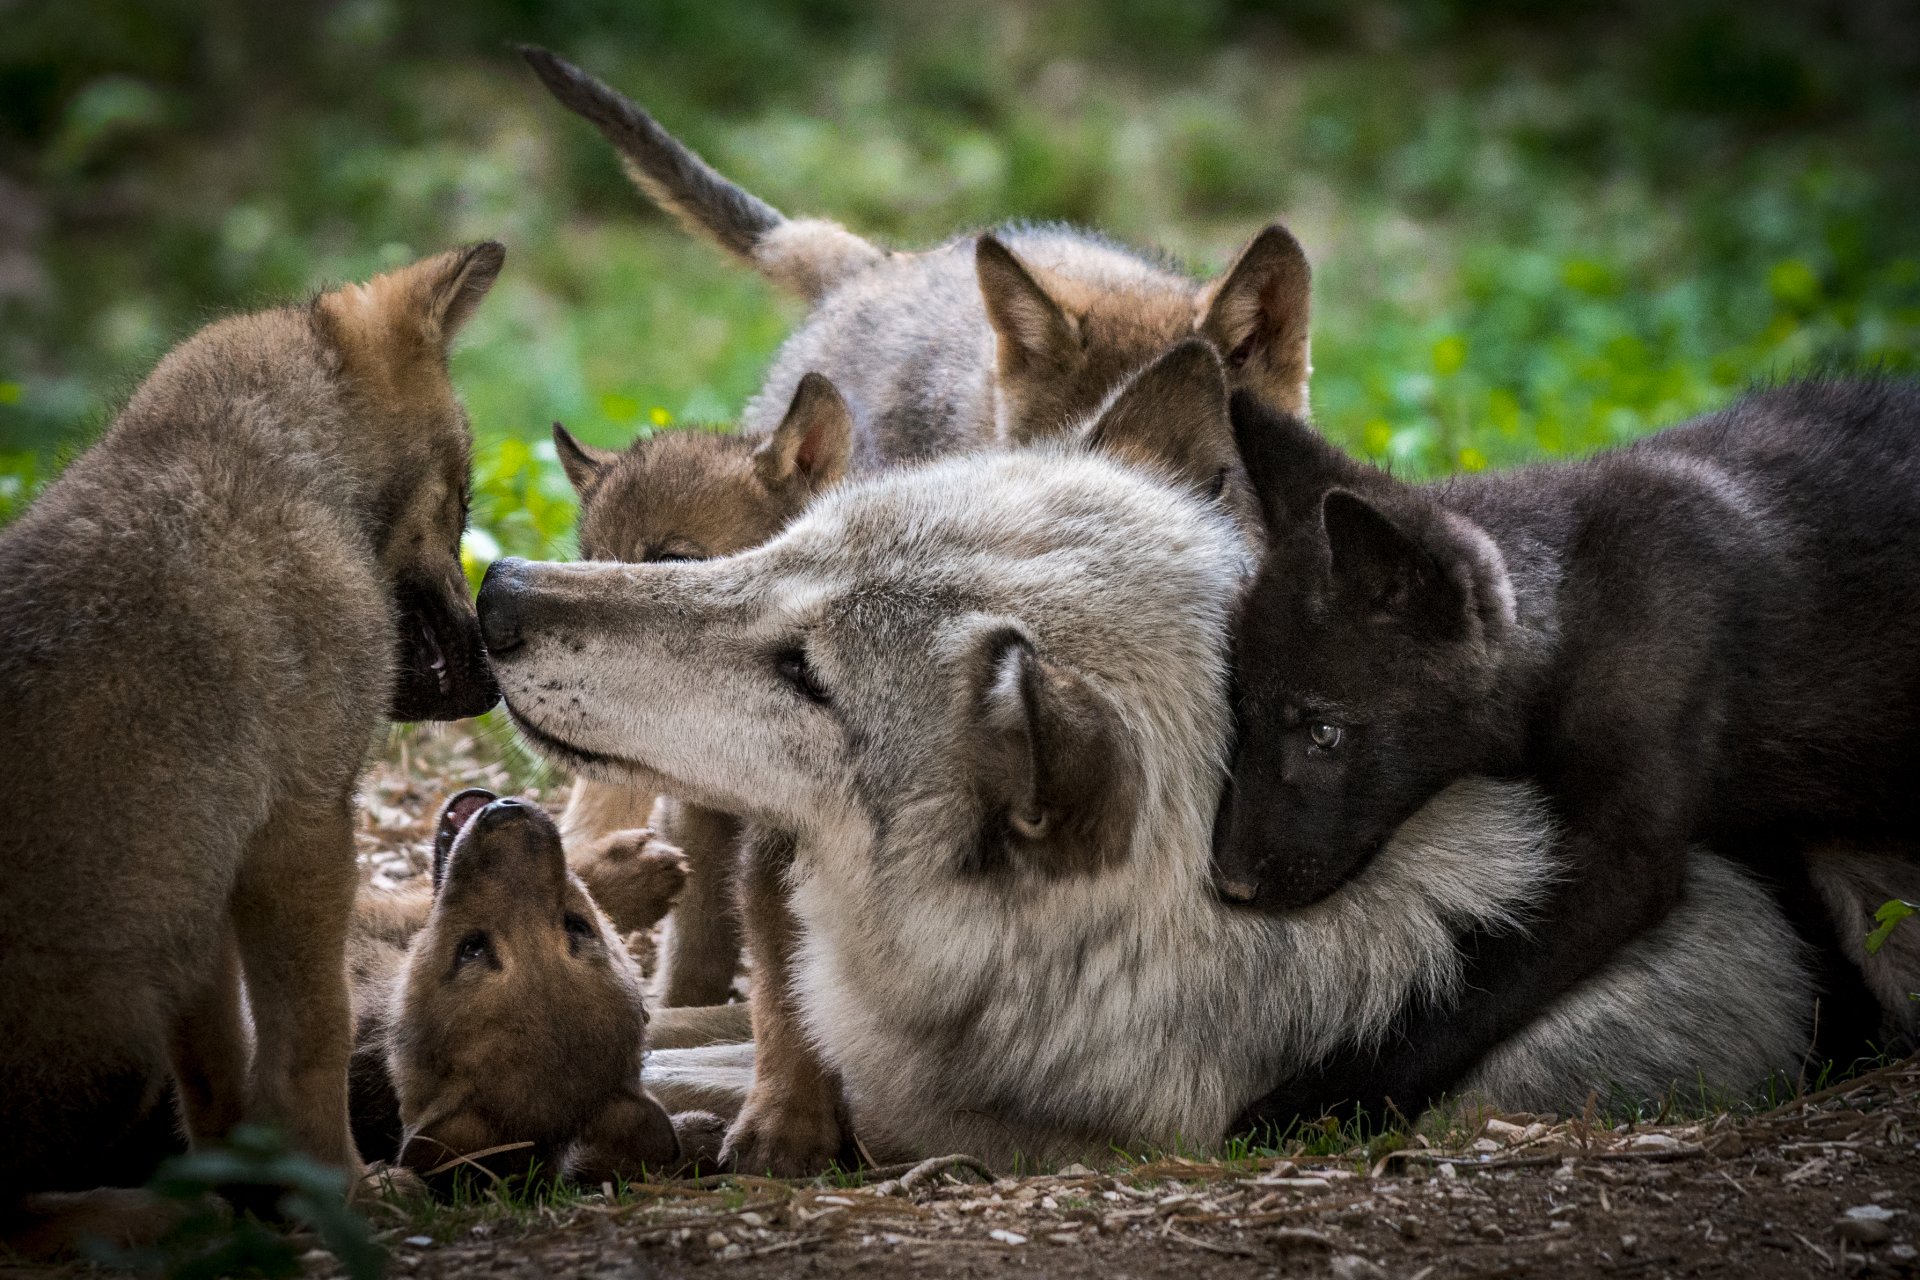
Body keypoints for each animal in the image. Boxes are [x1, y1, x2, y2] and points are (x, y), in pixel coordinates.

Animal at [0, 245, 503, 1243]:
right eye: (462, 504)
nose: (495, 678)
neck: (274, 463)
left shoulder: (208, 884)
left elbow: (224, 1070)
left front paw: (258, 1181)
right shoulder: (301, 832)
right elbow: (312, 1039)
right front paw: (341, 1192)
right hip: (122, 1017)